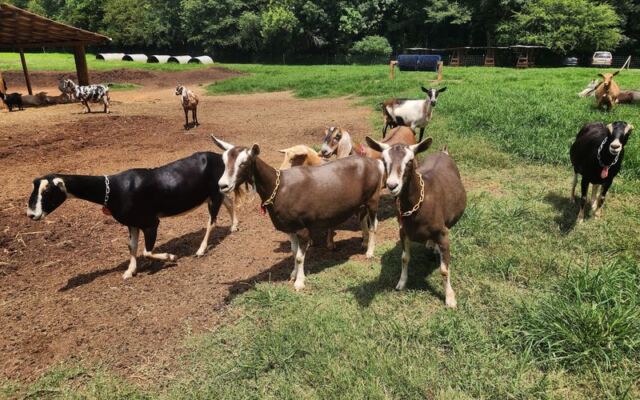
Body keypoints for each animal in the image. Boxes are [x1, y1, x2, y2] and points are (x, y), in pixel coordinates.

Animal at [26, 152, 239, 279]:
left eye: (47, 191)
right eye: (35, 188)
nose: (30, 214)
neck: (114, 190)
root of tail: (218, 157)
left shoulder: (151, 222)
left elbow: (147, 251)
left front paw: (170, 256)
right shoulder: (132, 223)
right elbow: (132, 246)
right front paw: (130, 271)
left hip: (213, 194)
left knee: (212, 221)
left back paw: (201, 250)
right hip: (215, 192)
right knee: (229, 202)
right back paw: (234, 226)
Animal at [212, 135, 384, 291]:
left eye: (244, 163)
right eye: (223, 162)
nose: (222, 185)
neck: (279, 188)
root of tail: (375, 163)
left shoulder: (302, 228)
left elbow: (300, 257)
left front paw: (299, 283)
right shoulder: (290, 228)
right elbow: (294, 252)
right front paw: (293, 275)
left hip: (373, 199)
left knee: (374, 225)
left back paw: (369, 252)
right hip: (361, 202)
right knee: (363, 219)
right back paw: (364, 242)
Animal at [366, 137, 467, 308]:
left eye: (410, 161)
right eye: (384, 161)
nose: (392, 185)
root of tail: (443, 152)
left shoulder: (443, 233)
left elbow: (444, 270)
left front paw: (450, 298)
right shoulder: (403, 231)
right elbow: (405, 258)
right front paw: (401, 283)